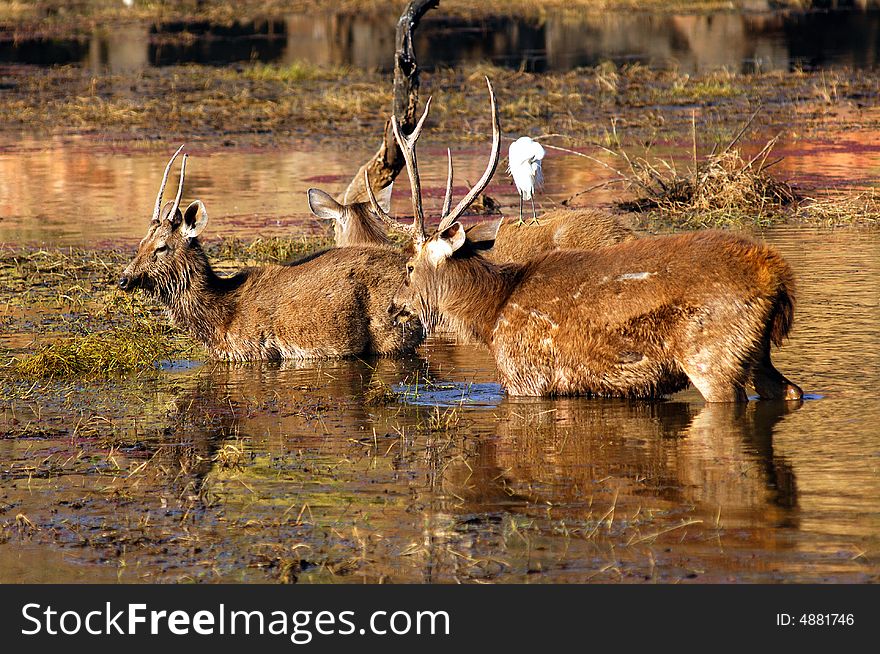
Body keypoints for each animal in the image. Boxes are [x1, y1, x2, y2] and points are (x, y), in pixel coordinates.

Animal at [119, 147, 422, 364]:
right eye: (141, 243)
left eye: (161, 247)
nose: (124, 279)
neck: (218, 320)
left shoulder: (257, 351)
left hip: (392, 332)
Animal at [372, 79, 804, 402]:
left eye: (409, 266)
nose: (394, 305)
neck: (490, 315)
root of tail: (778, 279)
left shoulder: (525, 379)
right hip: (757, 353)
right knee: (791, 391)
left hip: (713, 355)